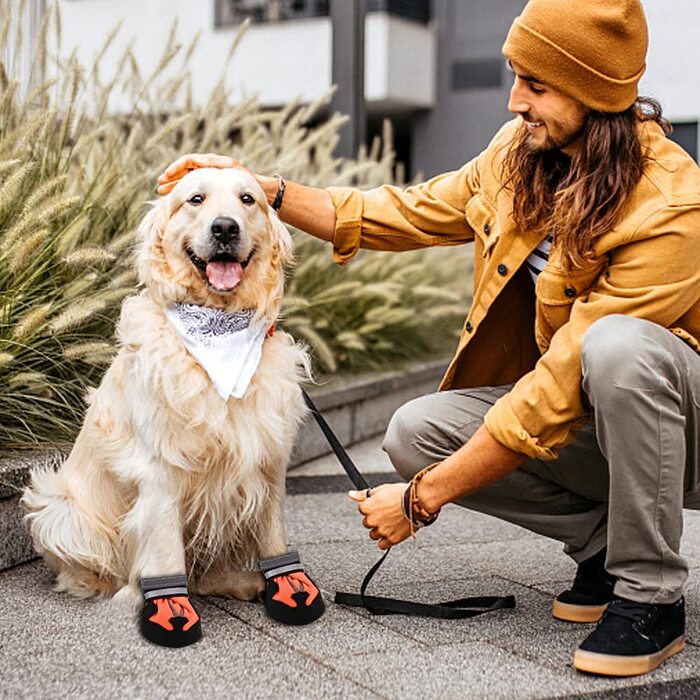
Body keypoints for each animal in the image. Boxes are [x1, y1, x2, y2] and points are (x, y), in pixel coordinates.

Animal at [21, 167, 308, 604]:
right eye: (195, 199)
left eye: (247, 199)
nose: (225, 228)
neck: (218, 329)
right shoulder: (160, 468)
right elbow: (166, 553)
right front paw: (163, 606)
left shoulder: (268, 459)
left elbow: (274, 539)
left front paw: (289, 589)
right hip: (57, 508)